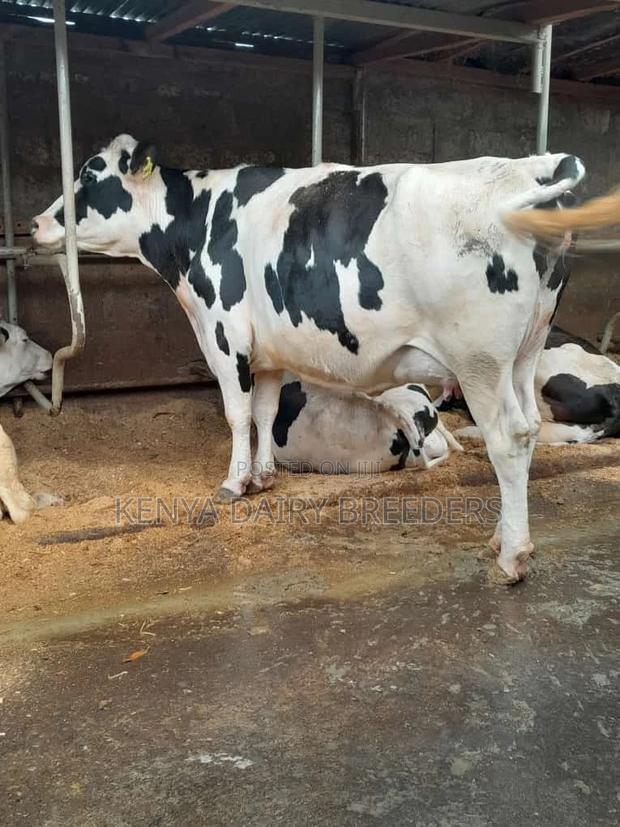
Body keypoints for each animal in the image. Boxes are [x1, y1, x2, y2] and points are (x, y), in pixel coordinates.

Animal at [31, 134, 587, 582]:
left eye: (88, 174)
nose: (34, 223)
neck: (197, 225)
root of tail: (531, 167)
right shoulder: (270, 351)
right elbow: (265, 411)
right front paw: (263, 476)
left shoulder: (224, 333)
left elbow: (237, 413)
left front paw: (234, 482)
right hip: (525, 352)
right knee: (531, 426)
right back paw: (501, 536)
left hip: (479, 361)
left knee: (508, 439)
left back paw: (512, 556)